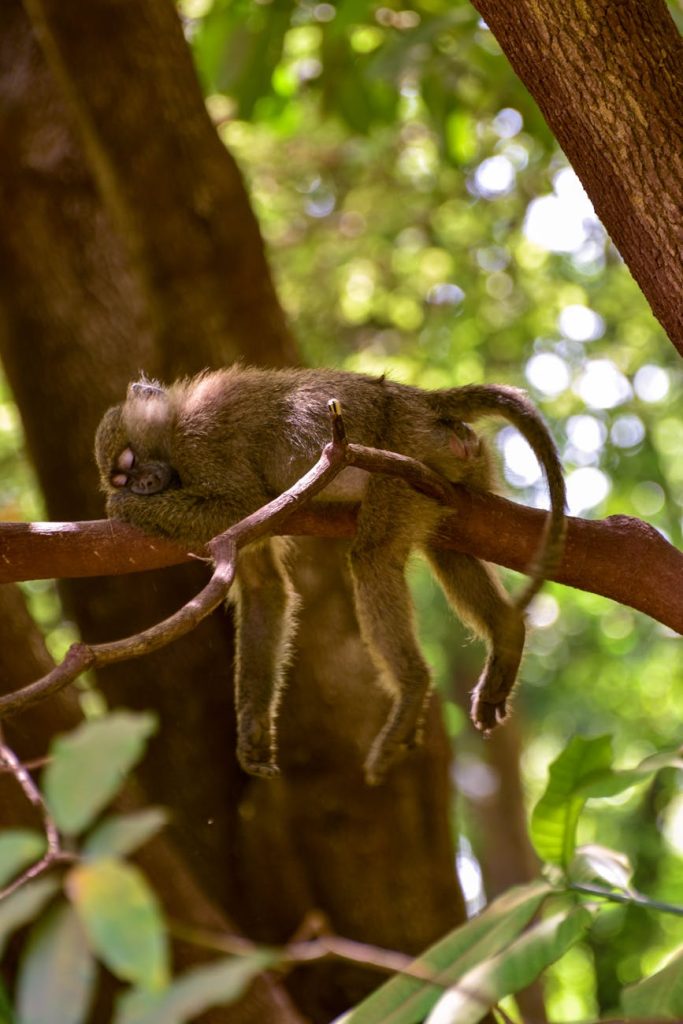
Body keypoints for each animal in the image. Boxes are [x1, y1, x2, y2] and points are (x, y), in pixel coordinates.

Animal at [95, 366, 566, 785]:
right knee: (448, 548)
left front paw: (123, 508)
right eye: (121, 474)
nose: (138, 486)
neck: (174, 420)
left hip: (404, 457)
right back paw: (506, 635)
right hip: (450, 464)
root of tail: (415, 399)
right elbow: (264, 589)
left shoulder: (199, 441)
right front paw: (252, 731)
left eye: (129, 462)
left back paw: (413, 686)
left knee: (373, 558)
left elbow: (239, 503)